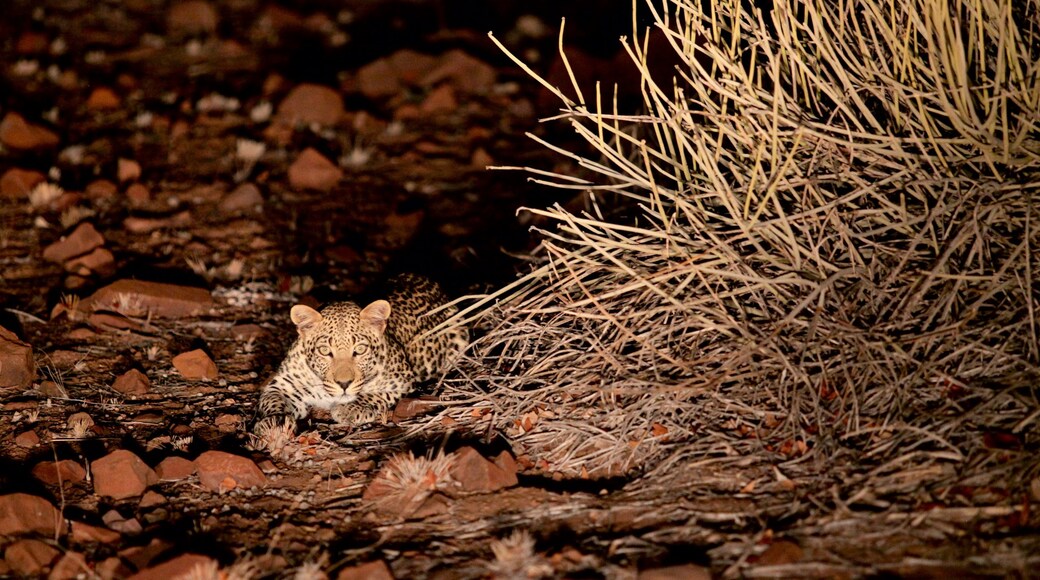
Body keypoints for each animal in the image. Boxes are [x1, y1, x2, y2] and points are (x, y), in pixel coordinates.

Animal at [251, 274, 467, 434]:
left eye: (360, 350)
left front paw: (351, 408)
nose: (344, 384)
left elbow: (376, 394)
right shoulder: (284, 383)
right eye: (324, 351)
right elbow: (273, 399)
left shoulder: (402, 381)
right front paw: (274, 422)